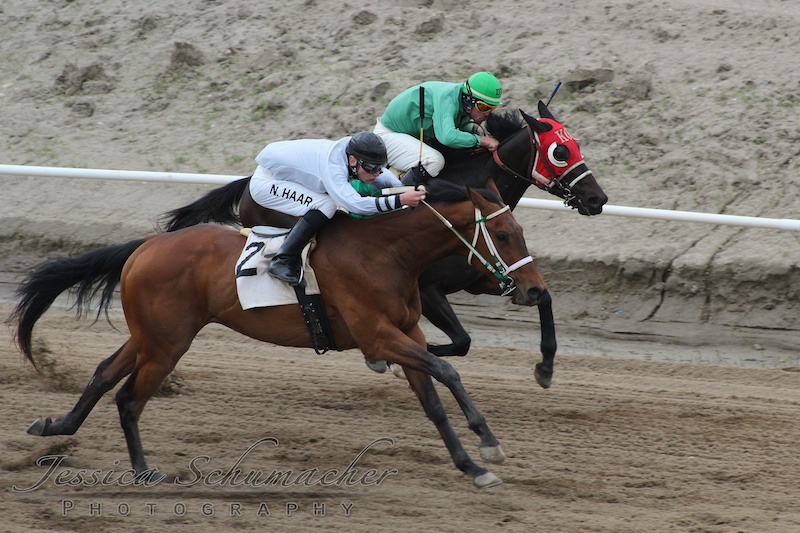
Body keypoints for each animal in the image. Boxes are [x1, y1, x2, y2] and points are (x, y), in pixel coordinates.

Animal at [12, 180, 546, 488]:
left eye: (520, 232)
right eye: (503, 235)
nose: (535, 291)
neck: (386, 253)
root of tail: (146, 246)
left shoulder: (406, 332)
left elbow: (432, 399)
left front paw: (472, 466)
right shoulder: (377, 337)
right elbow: (447, 370)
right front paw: (487, 440)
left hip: (152, 336)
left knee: (105, 374)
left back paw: (55, 427)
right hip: (167, 343)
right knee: (129, 397)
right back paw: (143, 470)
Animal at [160, 101, 607, 388]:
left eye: (578, 146)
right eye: (561, 151)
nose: (597, 199)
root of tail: (251, 180)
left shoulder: (485, 274)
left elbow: (541, 296)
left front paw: (546, 366)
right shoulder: (428, 287)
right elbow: (460, 343)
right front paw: (385, 361)